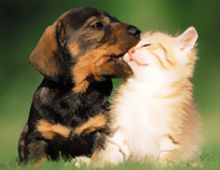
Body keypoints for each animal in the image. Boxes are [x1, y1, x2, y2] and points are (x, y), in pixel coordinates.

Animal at [18, 7, 140, 164]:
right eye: (97, 25)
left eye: (116, 19)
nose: (137, 31)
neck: (76, 95)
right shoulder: (37, 138)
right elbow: (38, 162)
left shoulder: (102, 132)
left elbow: (99, 157)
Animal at [92, 26, 202, 166]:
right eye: (131, 46)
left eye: (147, 45)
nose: (131, 50)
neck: (145, 86)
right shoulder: (120, 130)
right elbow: (112, 151)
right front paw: (103, 164)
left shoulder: (171, 138)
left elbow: (165, 160)